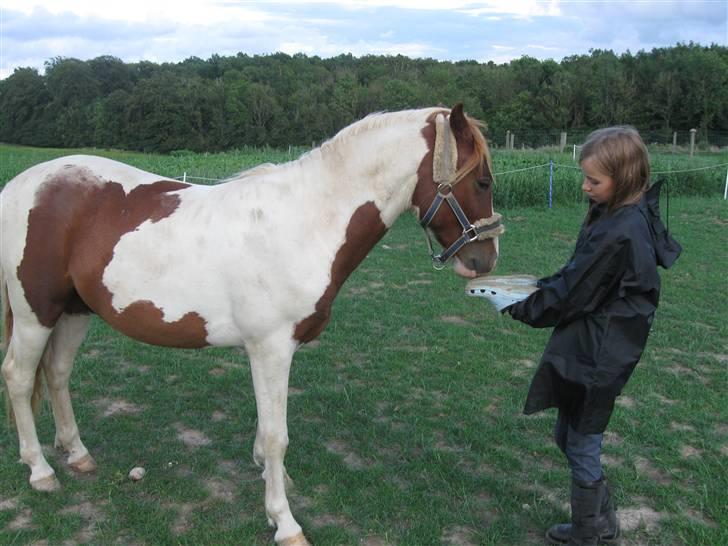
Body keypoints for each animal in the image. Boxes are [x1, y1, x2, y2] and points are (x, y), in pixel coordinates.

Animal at [1, 103, 500, 544]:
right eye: (482, 180)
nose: (484, 260)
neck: (305, 222)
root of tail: (19, 186)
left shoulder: (267, 351)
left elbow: (266, 430)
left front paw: (271, 478)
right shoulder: (271, 348)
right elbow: (278, 436)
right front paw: (285, 522)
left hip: (73, 311)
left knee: (58, 374)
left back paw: (78, 454)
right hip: (34, 313)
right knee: (20, 378)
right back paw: (41, 470)